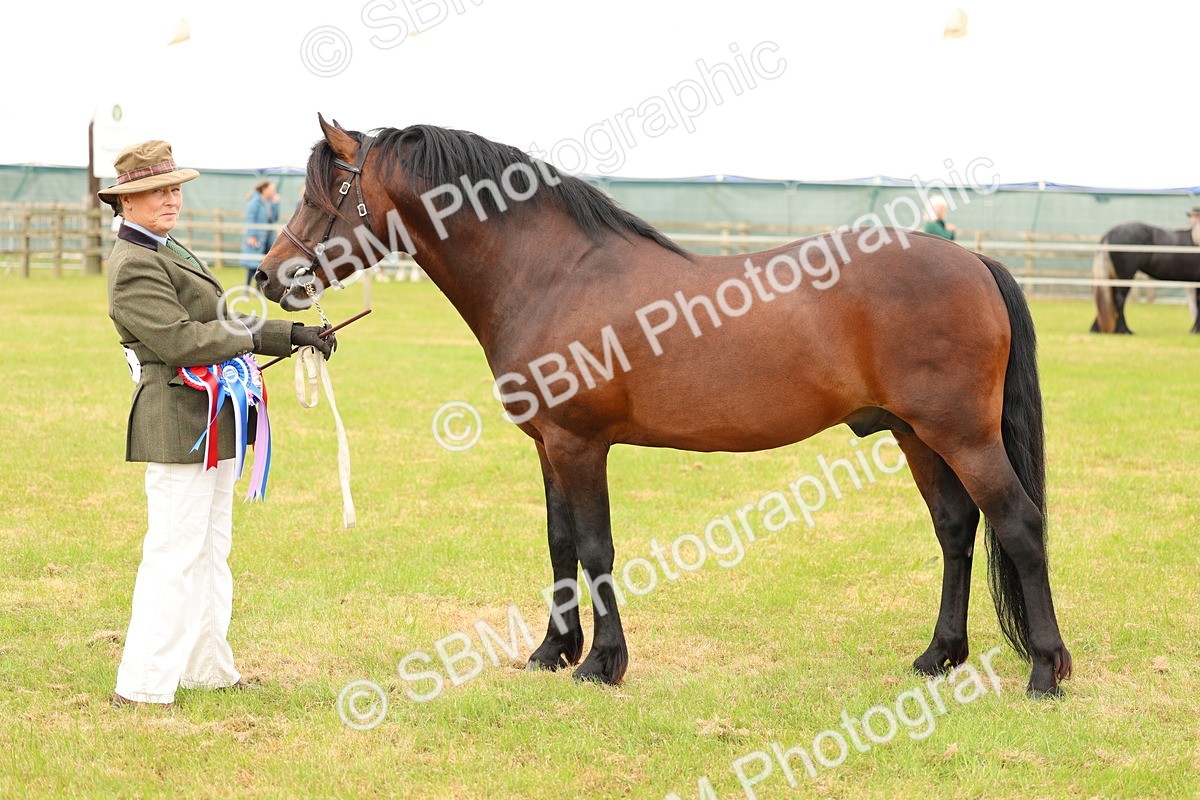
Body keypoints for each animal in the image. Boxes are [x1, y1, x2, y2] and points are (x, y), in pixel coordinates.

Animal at [256, 115, 1072, 698]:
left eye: (324, 194)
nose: (268, 276)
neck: (552, 274)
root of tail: (972, 260)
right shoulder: (549, 446)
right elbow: (558, 543)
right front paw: (552, 652)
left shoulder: (580, 444)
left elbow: (595, 548)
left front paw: (601, 664)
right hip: (915, 435)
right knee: (956, 529)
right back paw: (939, 656)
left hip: (962, 435)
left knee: (1018, 525)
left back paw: (1044, 672)